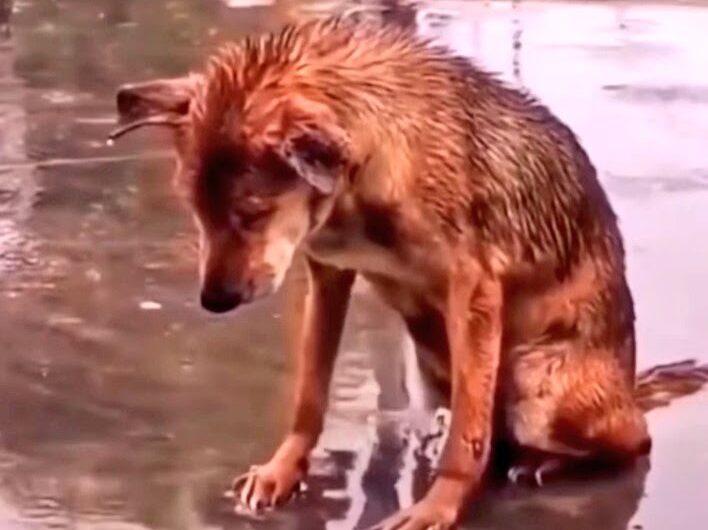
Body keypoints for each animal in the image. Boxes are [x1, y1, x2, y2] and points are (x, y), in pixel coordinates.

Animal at [110, 16, 708, 528]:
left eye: (252, 213)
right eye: (195, 210)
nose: (213, 302)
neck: (358, 179)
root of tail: (628, 387)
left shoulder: (474, 290)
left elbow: (467, 438)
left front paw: (438, 506)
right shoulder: (328, 273)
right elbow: (309, 394)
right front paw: (283, 470)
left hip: (536, 382)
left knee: (628, 441)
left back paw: (546, 462)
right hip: (434, 364)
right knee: (495, 432)